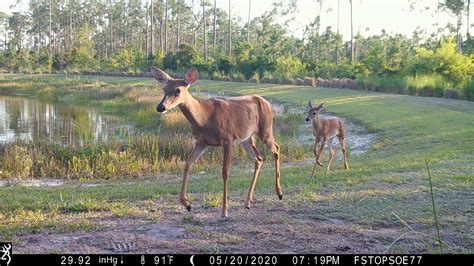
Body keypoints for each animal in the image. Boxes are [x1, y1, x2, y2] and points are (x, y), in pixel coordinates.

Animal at [152, 67, 282, 218]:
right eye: (164, 88)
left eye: (177, 90)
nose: (160, 107)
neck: (204, 118)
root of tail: (268, 103)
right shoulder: (201, 143)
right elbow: (187, 164)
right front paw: (187, 203)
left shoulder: (228, 139)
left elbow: (225, 172)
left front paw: (224, 210)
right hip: (246, 138)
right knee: (259, 158)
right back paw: (248, 202)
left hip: (265, 130)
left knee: (276, 148)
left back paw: (279, 193)